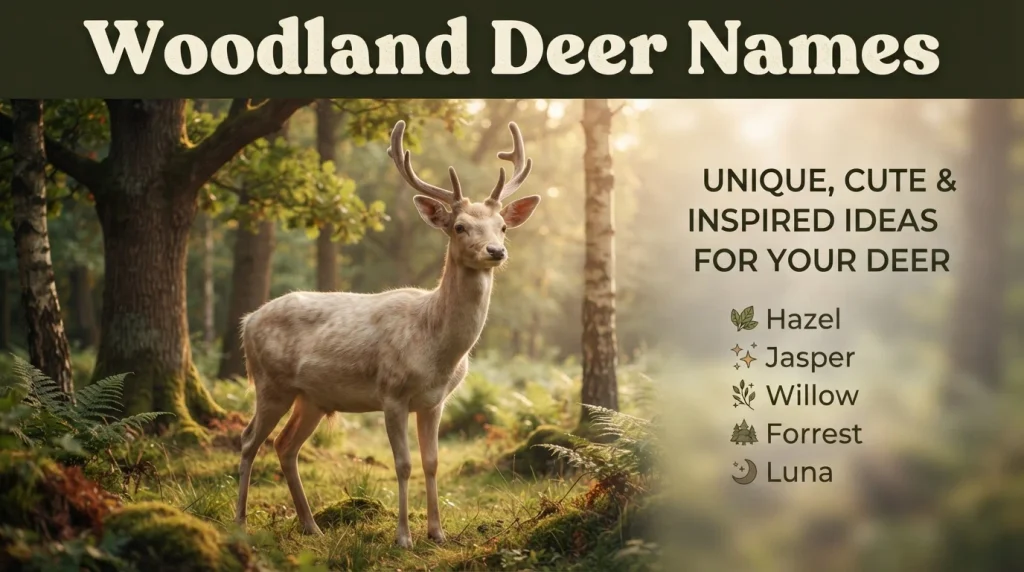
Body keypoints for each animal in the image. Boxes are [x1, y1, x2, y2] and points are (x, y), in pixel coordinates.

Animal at [233, 119, 540, 547]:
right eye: (460, 226)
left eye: (503, 226)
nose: (496, 251)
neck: (438, 352)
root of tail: (247, 322)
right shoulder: (391, 392)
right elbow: (404, 463)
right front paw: (403, 537)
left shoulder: (435, 401)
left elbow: (432, 462)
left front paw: (437, 532)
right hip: (269, 382)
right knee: (248, 441)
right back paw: (241, 522)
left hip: (311, 397)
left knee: (285, 445)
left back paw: (311, 525)